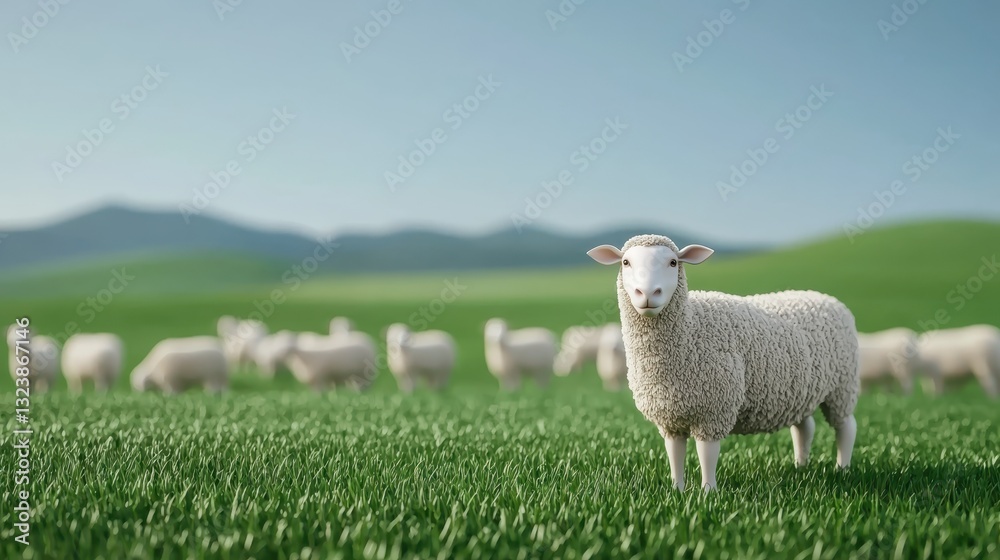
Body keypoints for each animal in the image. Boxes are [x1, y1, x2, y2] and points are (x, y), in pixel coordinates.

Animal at [588, 235, 860, 491]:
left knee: (846, 426)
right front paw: (677, 489)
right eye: (625, 262)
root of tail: (829, 300)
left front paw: (708, 492)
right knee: (804, 428)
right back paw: (801, 466)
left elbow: (707, 453)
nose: (647, 294)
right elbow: (675, 452)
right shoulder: (671, 416)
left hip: (843, 386)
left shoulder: (715, 407)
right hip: (801, 390)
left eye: (673, 262)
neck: (690, 328)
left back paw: (842, 469)